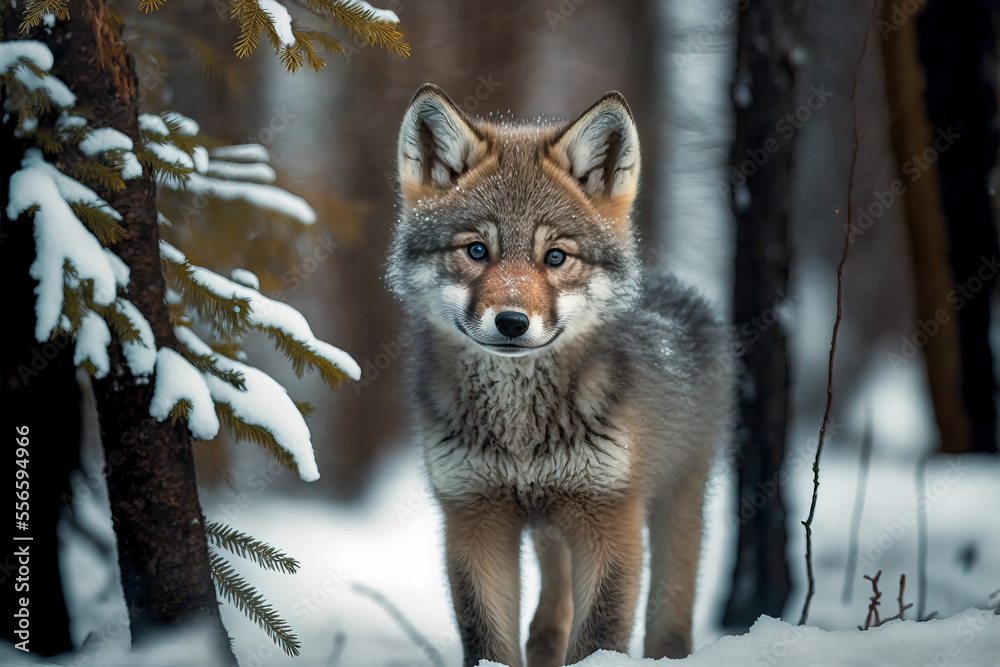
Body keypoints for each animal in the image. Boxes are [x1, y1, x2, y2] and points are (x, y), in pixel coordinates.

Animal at [387, 84, 731, 667]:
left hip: (676, 507)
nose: (511, 322)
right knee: (550, 616)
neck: (521, 436)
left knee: (670, 616)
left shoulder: (610, 517)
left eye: (555, 257)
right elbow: (489, 640)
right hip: (551, 529)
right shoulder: (474, 518)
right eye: (476, 250)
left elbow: (599, 636)